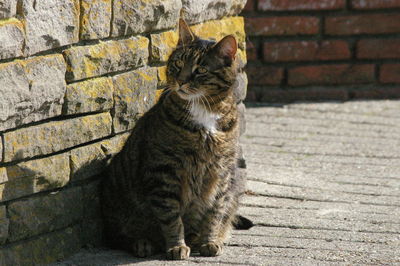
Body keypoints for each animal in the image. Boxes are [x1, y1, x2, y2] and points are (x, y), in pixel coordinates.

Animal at [101, 18, 250, 260]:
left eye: (200, 70)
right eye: (178, 63)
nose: (180, 81)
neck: (204, 111)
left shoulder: (222, 172)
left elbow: (215, 211)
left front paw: (210, 241)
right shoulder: (164, 171)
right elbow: (171, 216)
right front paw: (176, 246)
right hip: (117, 199)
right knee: (118, 235)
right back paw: (141, 243)